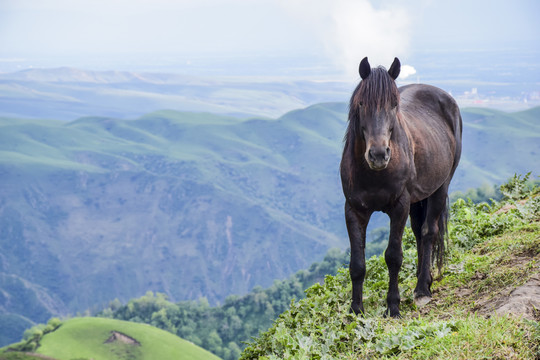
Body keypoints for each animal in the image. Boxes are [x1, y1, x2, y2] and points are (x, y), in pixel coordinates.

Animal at [342, 57, 460, 318]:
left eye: (394, 104)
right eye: (362, 103)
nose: (378, 154)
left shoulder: (399, 206)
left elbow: (393, 256)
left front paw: (393, 306)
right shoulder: (353, 210)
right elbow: (357, 263)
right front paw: (355, 311)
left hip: (440, 187)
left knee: (428, 232)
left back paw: (422, 290)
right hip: (418, 199)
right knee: (418, 231)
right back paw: (424, 279)